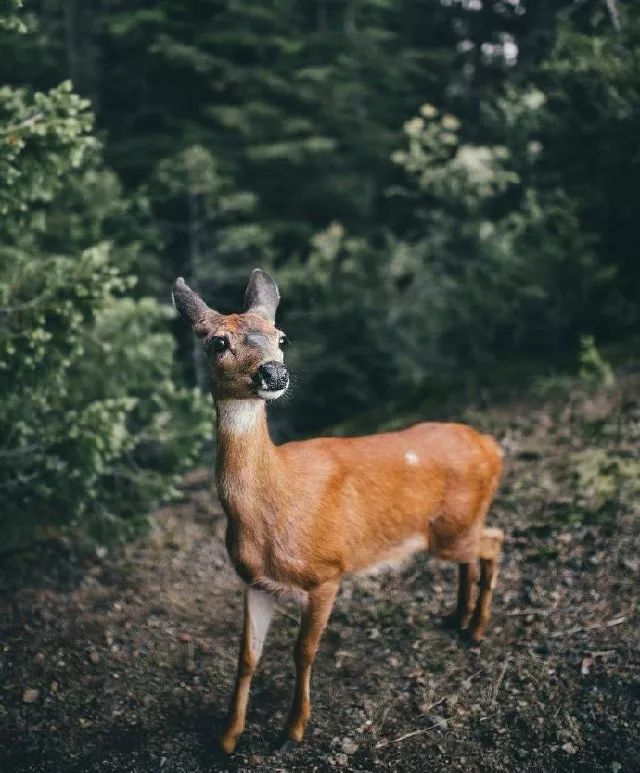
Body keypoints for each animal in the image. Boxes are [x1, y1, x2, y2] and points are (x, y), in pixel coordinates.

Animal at [172, 268, 502, 752]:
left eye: (281, 336)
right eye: (218, 342)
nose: (274, 372)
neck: (273, 509)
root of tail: (492, 446)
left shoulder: (328, 571)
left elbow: (303, 652)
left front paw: (294, 728)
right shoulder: (254, 580)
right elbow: (247, 657)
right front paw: (228, 738)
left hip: (455, 527)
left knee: (496, 542)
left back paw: (477, 629)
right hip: (451, 531)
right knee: (478, 552)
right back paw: (459, 618)